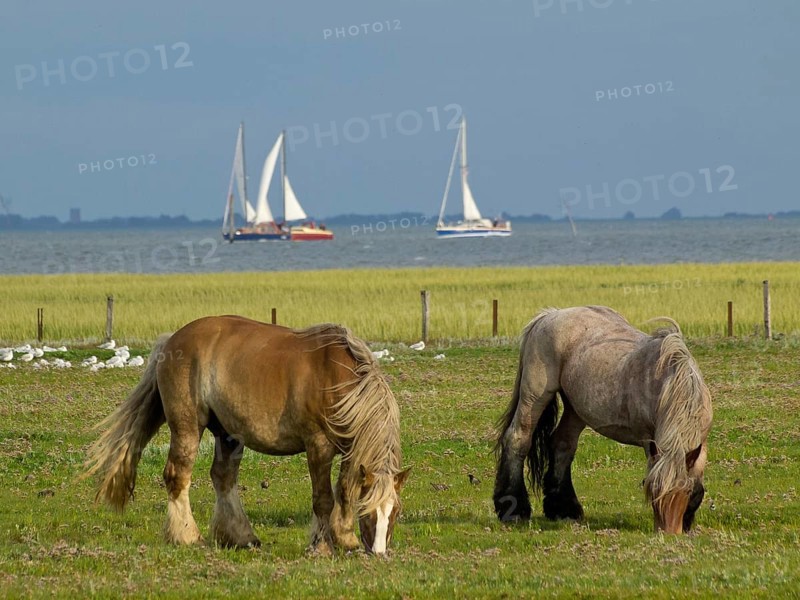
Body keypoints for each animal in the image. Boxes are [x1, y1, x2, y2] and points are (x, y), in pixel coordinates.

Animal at [84, 316, 410, 555]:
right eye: (369, 513)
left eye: (394, 512)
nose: (379, 553)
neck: (341, 380)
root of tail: (172, 340)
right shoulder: (318, 446)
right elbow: (323, 499)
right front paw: (321, 546)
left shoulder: (351, 450)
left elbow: (345, 491)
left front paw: (345, 538)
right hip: (188, 427)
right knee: (178, 476)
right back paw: (188, 536)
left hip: (228, 434)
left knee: (223, 478)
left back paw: (240, 536)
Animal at [493, 306, 712, 534]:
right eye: (653, 495)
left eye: (684, 493)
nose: (667, 533)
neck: (671, 385)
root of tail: (550, 314)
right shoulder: (649, 441)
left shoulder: (700, 444)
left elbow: (698, 484)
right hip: (535, 396)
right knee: (517, 439)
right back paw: (514, 510)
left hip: (575, 409)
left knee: (562, 445)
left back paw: (564, 510)